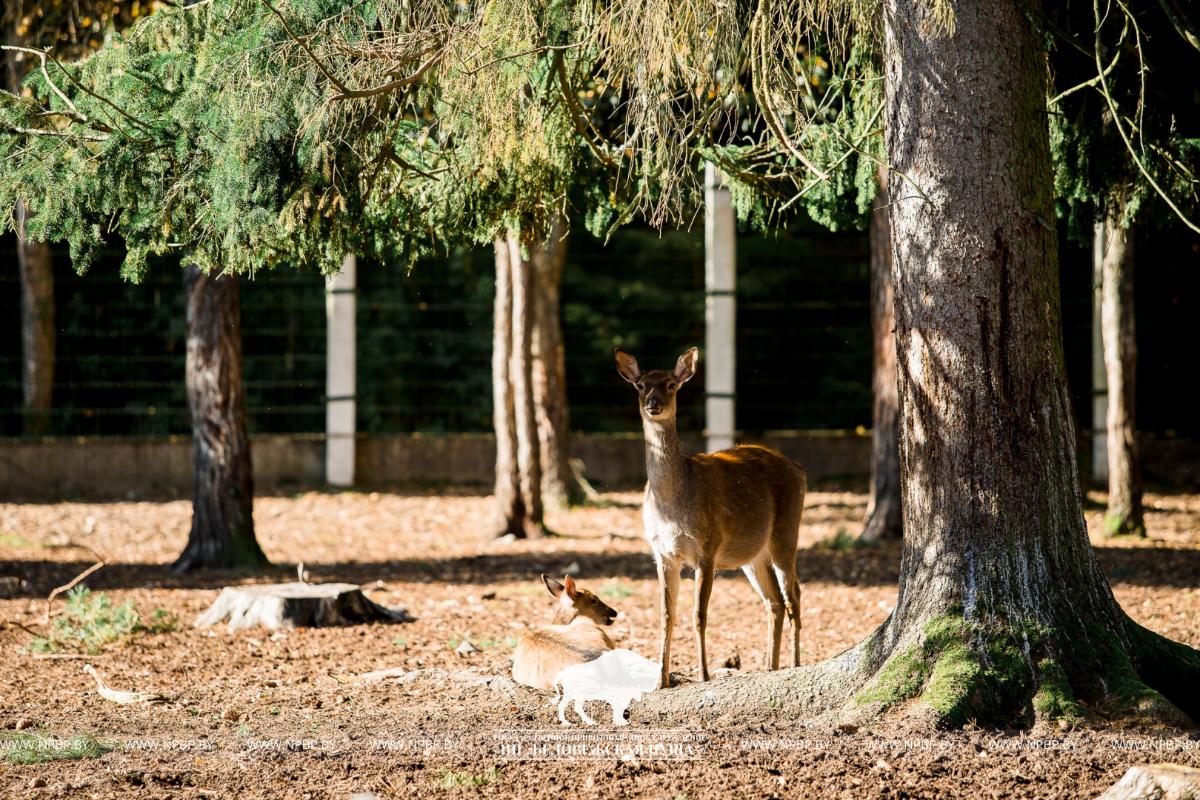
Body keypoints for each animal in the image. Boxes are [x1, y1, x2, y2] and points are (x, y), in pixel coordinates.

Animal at [619, 345, 806, 690]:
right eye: (640, 385)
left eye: (671, 384)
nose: (653, 403)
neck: (671, 506)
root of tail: (799, 469)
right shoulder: (662, 553)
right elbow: (667, 615)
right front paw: (660, 681)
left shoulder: (707, 547)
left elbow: (699, 615)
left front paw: (704, 675)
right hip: (753, 554)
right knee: (773, 601)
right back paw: (770, 667)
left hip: (786, 532)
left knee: (793, 596)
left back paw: (795, 664)